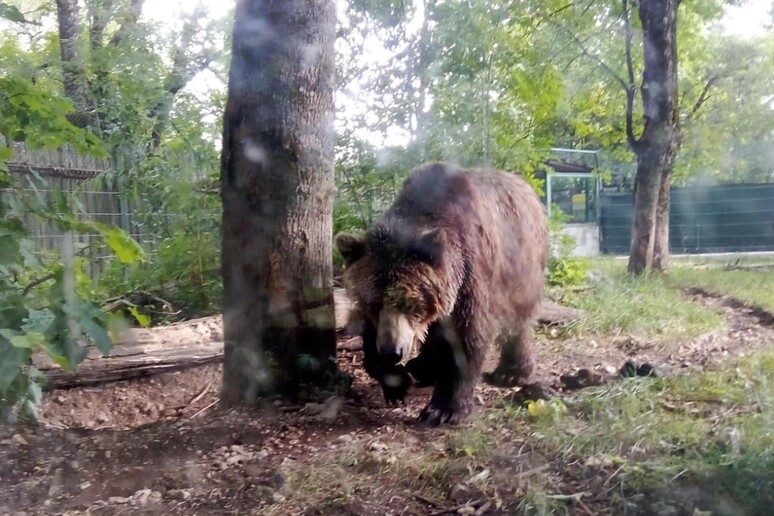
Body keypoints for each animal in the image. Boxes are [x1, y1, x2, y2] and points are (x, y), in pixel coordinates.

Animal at [336, 163, 548, 426]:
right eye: (373, 303)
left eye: (408, 303)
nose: (392, 351)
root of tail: (526, 188)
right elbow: (371, 334)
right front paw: (396, 383)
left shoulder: (469, 275)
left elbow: (466, 337)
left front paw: (442, 409)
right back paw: (422, 366)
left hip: (521, 265)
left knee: (518, 319)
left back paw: (512, 373)